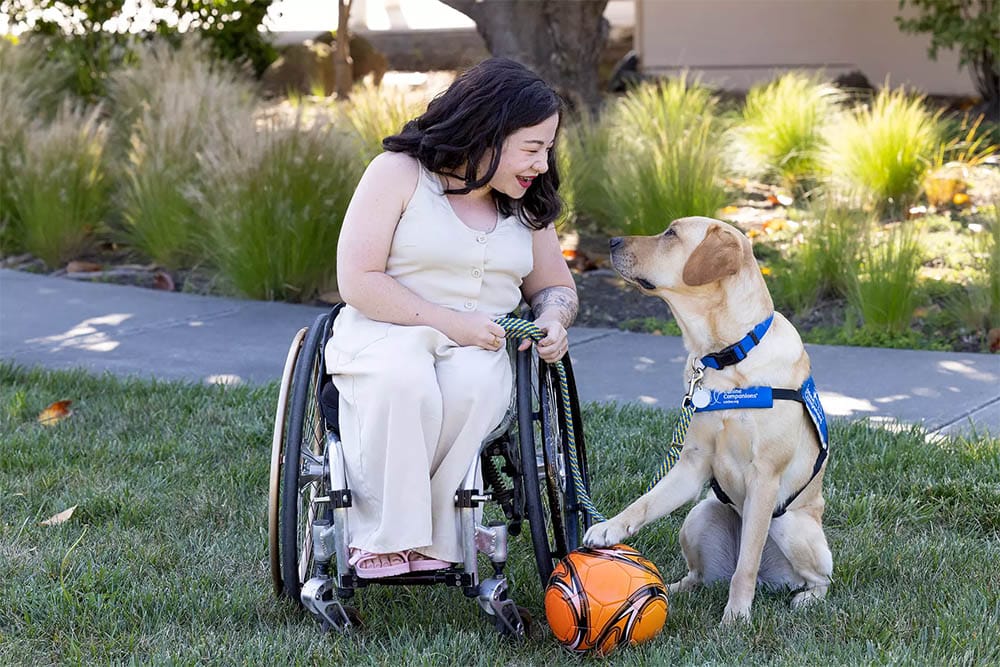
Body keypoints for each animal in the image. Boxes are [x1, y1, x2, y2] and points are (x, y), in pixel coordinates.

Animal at [584, 217, 832, 624]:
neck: (726, 357)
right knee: (699, 575)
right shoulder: (692, 464)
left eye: (671, 234)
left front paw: (736, 618)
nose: (612, 240)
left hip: (790, 525)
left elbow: (745, 566)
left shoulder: (765, 476)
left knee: (814, 577)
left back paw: (806, 598)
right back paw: (669, 589)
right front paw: (609, 528)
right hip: (700, 515)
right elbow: (644, 503)